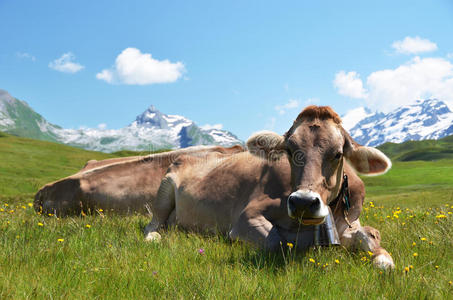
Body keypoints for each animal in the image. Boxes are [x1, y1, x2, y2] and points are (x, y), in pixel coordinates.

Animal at [143, 105, 394, 270]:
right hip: (164, 190)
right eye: (290, 151)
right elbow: (276, 241)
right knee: (153, 224)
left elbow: (370, 234)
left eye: (338, 154)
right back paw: (154, 237)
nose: (303, 202)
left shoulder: (349, 222)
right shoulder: (247, 216)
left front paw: (383, 259)